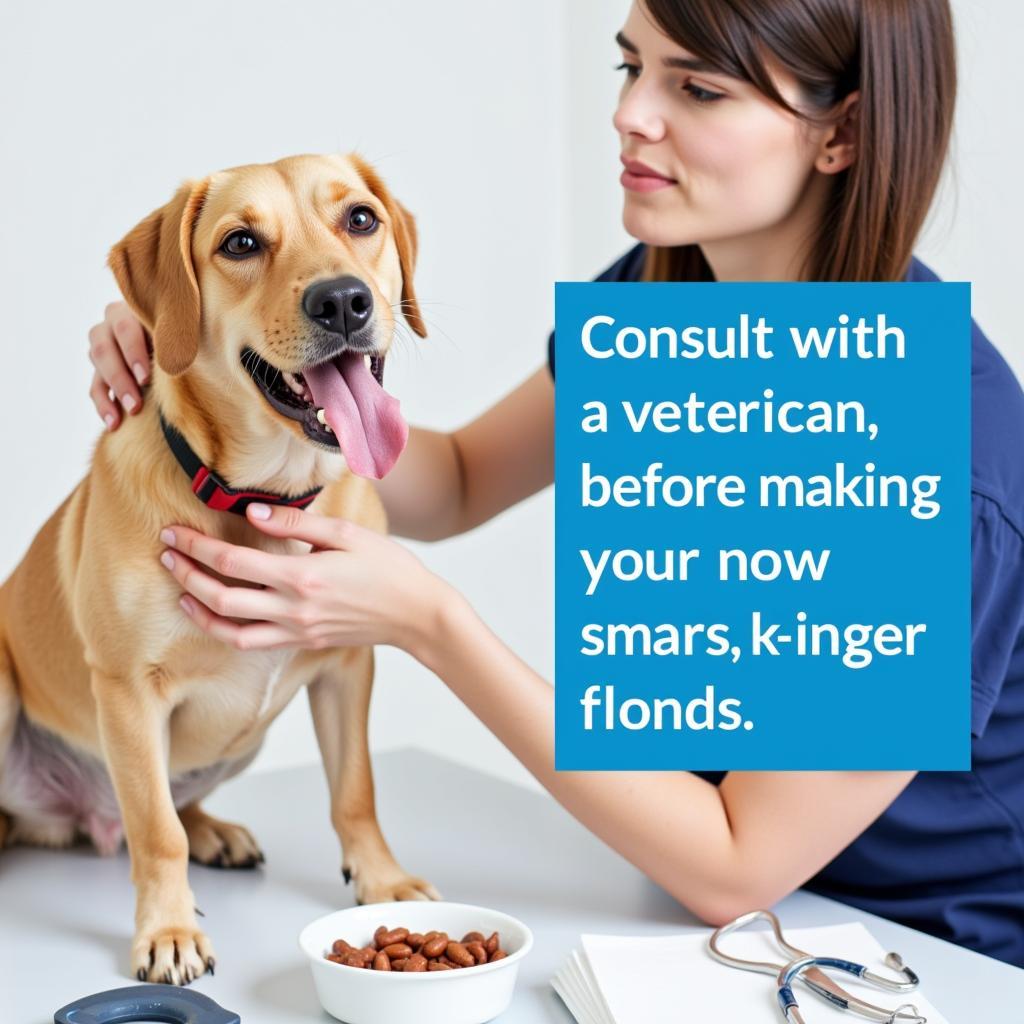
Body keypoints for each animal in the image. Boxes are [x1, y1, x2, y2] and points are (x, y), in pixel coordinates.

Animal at [0, 151, 436, 983]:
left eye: (361, 219)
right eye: (241, 243)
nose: (343, 301)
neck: (265, 498)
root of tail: (78, 820)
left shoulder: (347, 666)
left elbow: (354, 792)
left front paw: (383, 879)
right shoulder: (128, 691)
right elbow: (154, 832)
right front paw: (167, 931)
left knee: (176, 806)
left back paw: (214, 831)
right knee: (137, 820)